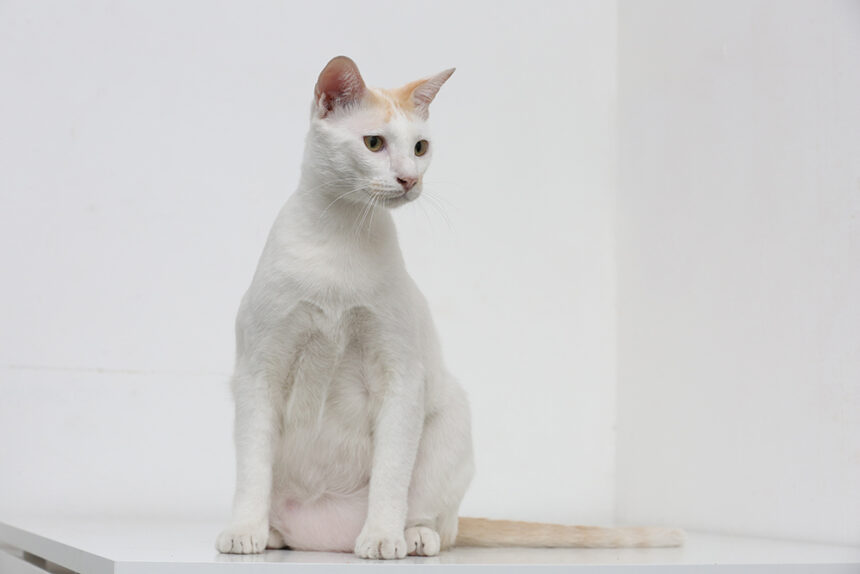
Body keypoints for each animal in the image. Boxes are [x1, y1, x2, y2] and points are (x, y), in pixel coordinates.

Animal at [215, 56, 684, 560]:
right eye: (374, 143)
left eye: (420, 147)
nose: (410, 178)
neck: (342, 234)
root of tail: (324, 540)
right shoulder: (258, 372)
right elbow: (253, 469)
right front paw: (244, 532)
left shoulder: (401, 376)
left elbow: (391, 474)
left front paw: (382, 537)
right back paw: (273, 533)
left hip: (451, 418)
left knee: (434, 516)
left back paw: (412, 536)